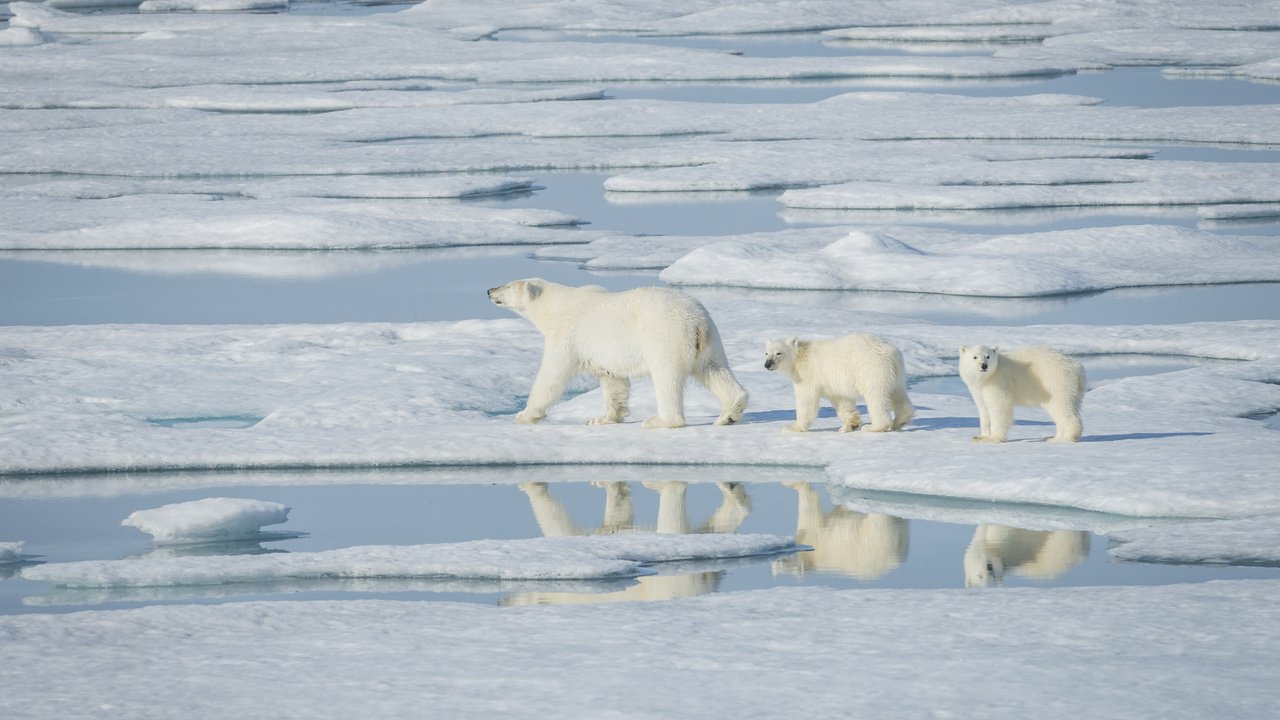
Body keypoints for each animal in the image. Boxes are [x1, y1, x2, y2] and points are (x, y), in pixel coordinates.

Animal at [488, 278, 747, 425]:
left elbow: (552, 375)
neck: (555, 306)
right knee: (715, 370)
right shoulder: (604, 355)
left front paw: (525, 414)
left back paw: (659, 421)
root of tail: (696, 320)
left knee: (667, 378)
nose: (489, 290)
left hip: (665, 336)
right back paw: (729, 413)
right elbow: (613, 381)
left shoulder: (567, 336)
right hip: (709, 341)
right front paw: (603, 419)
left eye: (507, 285)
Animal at [762, 333, 916, 430]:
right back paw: (900, 421)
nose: (767, 364)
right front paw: (850, 425)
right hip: (896, 373)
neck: (800, 357)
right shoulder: (833, 383)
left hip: (870, 370)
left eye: (778, 353)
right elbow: (842, 401)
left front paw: (792, 427)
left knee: (876, 397)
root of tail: (890, 352)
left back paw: (874, 427)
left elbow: (807, 400)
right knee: (898, 393)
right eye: (766, 353)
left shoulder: (808, 376)